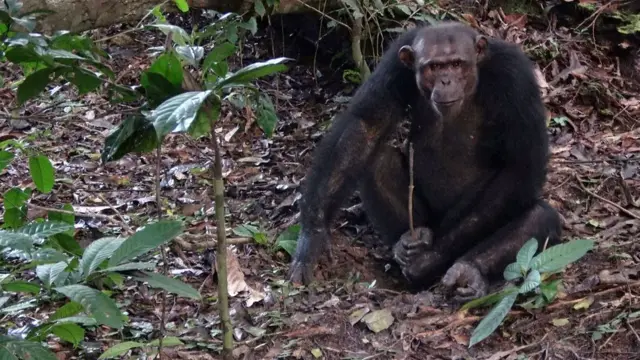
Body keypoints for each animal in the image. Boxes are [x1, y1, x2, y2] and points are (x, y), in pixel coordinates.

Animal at [288, 21, 564, 300]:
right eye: (434, 66)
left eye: (456, 64)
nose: (446, 79)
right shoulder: (394, 63)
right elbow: (365, 127)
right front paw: (313, 235)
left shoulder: (516, 78)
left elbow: (521, 167)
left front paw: (429, 260)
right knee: (380, 162)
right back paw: (409, 242)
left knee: (538, 216)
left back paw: (466, 270)